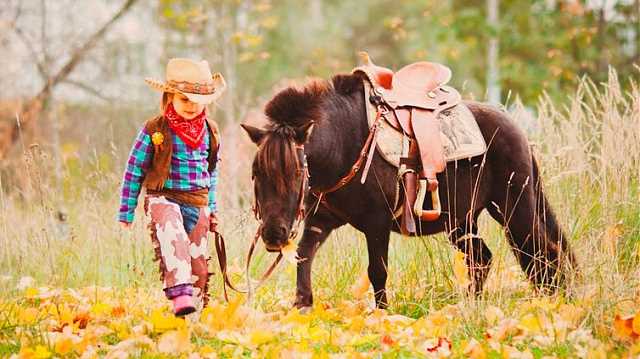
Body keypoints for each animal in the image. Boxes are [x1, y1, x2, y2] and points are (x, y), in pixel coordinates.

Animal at [242, 72, 576, 310]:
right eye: (256, 174)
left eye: (297, 173)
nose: (272, 235)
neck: (343, 144)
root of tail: (518, 131)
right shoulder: (321, 220)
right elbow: (303, 256)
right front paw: (303, 305)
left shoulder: (376, 224)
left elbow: (377, 271)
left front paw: (383, 315)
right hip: (461, 221)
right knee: (482, 258)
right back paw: (472, 305)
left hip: (514, 207)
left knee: (543, 249)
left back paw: (559, 299)